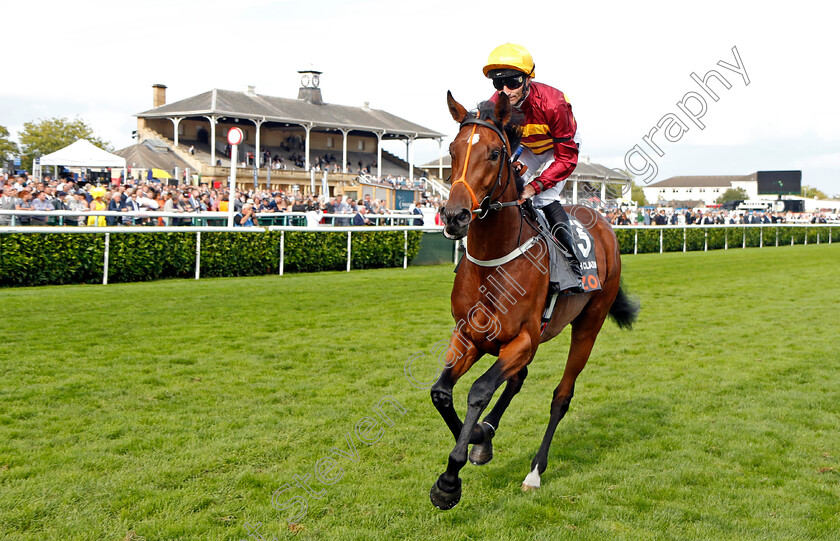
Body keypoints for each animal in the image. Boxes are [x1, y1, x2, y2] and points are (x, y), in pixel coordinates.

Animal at [434, 90, 636, 508]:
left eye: (495, 152)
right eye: (452, 149)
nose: (455, 215)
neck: (494, 262)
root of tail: (604, 221)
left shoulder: (522, 339)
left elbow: (479, 390)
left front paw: (449, 480)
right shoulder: (468, 336)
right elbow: (442, 392)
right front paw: (479, 437)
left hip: (588, 324)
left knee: (561, 395)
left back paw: (534, 472)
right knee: (518, 378)